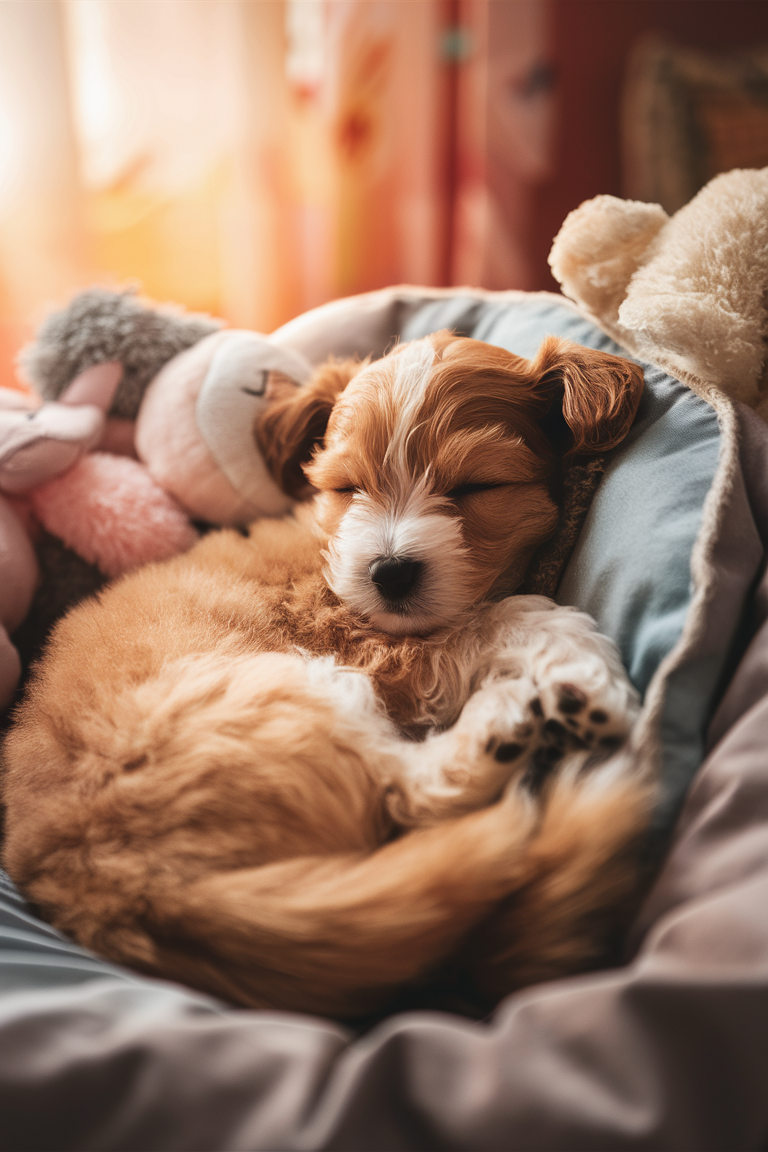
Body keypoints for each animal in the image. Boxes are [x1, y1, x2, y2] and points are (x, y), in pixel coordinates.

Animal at [0, 331, 654, 1018]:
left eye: (477, 485)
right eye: (347, 486)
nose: (390, 572)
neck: (324, 552)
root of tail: (119, 884)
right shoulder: (372, 651)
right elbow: (509, 616)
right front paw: (591, 679)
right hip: (294, 689)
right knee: (409, 789)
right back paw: (506, 721)